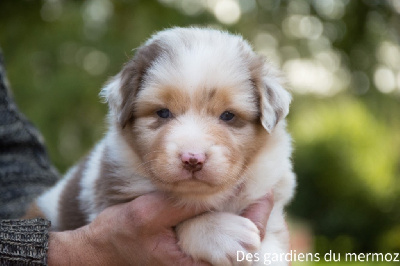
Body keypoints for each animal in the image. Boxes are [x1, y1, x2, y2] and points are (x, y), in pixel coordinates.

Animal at [25, 27, 294, 266]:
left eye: (228, 116)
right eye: (163, 113)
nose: (192, 159)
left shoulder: (267, 195)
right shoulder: (112, 197)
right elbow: (183, 219)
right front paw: (223, 233)